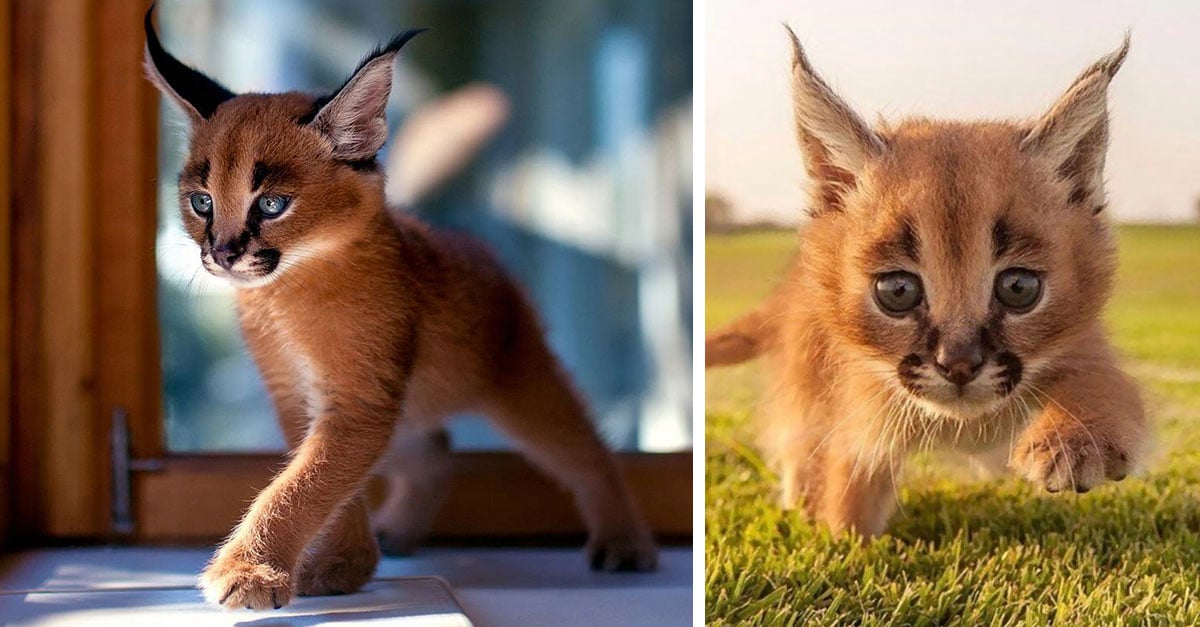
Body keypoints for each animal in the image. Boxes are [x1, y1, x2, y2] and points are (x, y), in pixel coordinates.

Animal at [146, 8, 662, 605]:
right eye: (201, 202)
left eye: (272, 204)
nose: (223, 254)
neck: (285, 293)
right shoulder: (305, 398)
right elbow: (325, 478)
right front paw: (341, 566)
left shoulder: (359, 400)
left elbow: (305, 482)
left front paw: (254, 570)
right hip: (410, 404)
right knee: (436, 449)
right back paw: (400, 531)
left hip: (523, 383)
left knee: (589, 453)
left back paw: (625, 543)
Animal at [705, 29, 1147, 533]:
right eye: (897, 291)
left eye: (1019, 287)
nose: (958, 364)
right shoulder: (858, 420)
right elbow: (848, 498)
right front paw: (839, 536)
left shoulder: (1084, 344)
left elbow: (1103, 384)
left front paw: (1074, 440)